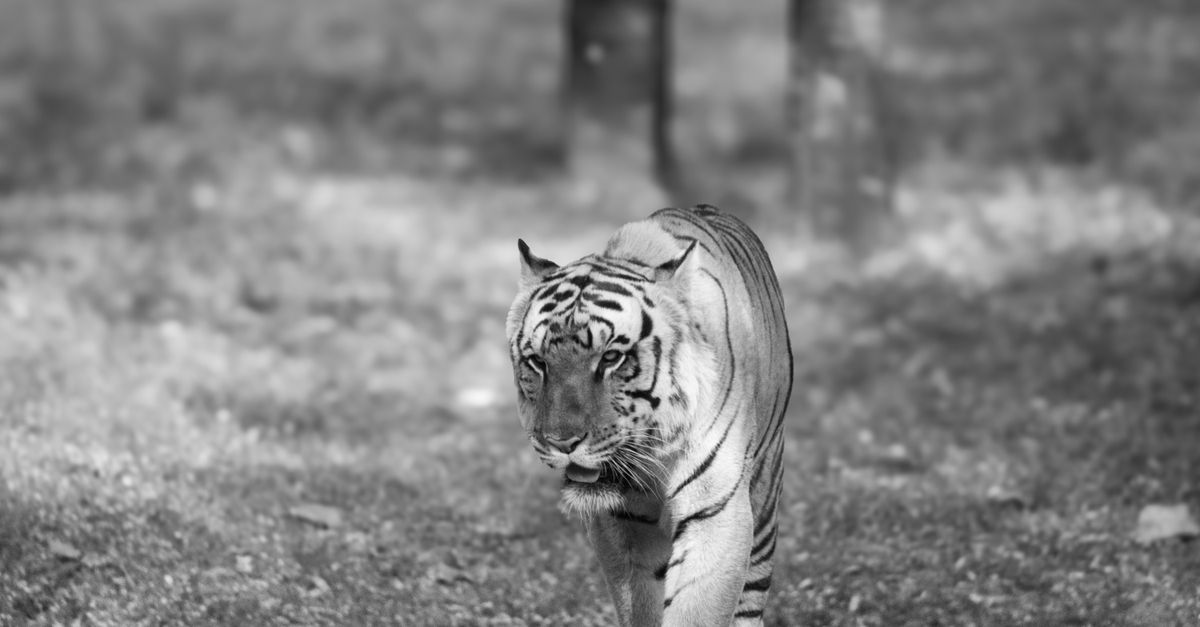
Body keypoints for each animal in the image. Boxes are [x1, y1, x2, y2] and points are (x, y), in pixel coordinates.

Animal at [505, 204, 793, 626]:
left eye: (611, 357)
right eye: (538, 362)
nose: (561, 443)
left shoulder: (715, 513)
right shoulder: (624, 524)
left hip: (764, 497)